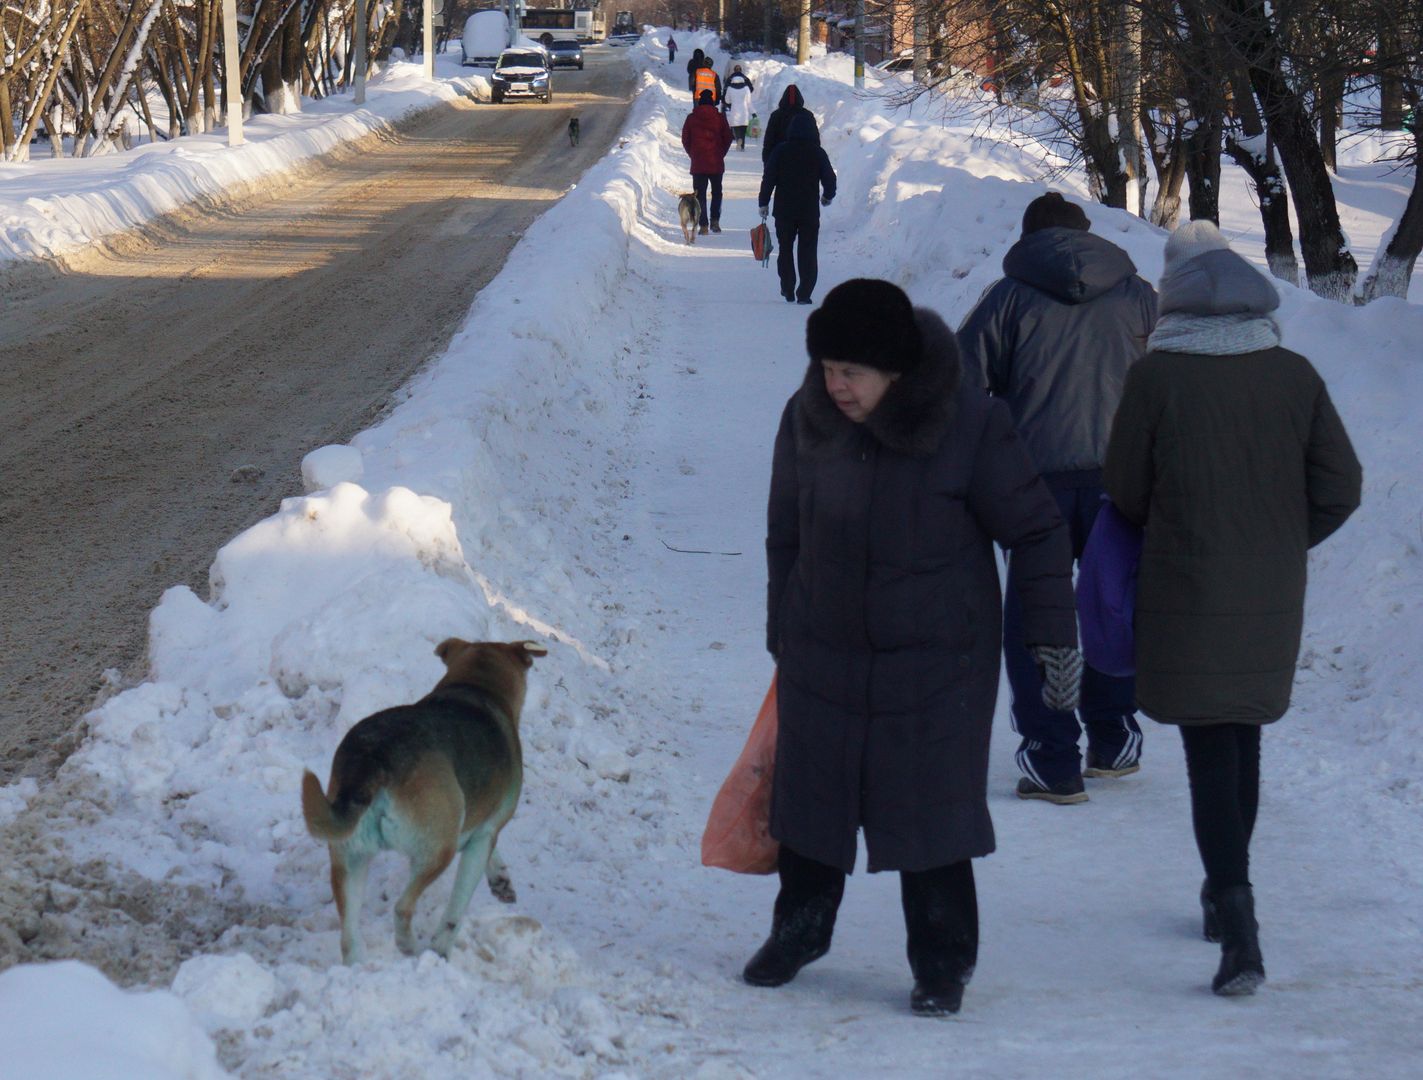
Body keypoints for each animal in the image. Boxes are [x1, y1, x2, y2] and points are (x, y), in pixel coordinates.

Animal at [300, 634, 543, 961]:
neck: (477, 687)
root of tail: (375, 758)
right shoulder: (482, 837)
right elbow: (455, 911)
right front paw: (441, 950)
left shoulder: (478, 828)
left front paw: (501, 879)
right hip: (438, 850)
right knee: (402, 907)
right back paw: (411, 949)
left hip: (350, 858)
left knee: (349, 937)